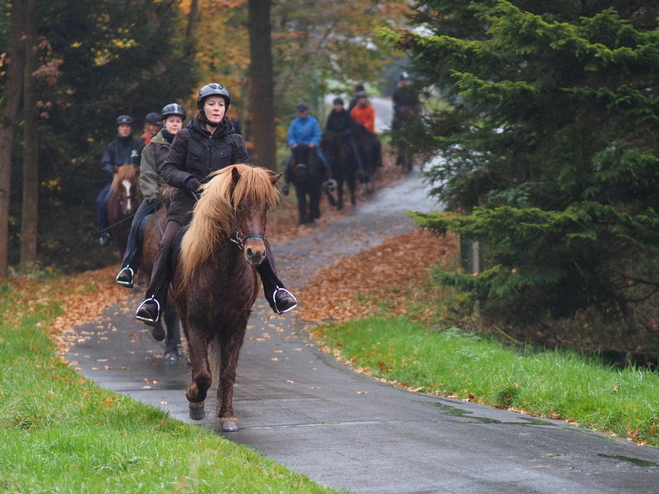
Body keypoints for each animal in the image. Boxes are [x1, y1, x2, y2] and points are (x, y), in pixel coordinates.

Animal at [170, 164, 282, 430]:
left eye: (266, 206)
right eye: (238, 205)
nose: (255, 253)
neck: (225, 270)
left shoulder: (237, 323)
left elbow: (227, 371)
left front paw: (227, 414)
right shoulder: (196, 322)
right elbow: (202, 373)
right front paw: (194, 398)